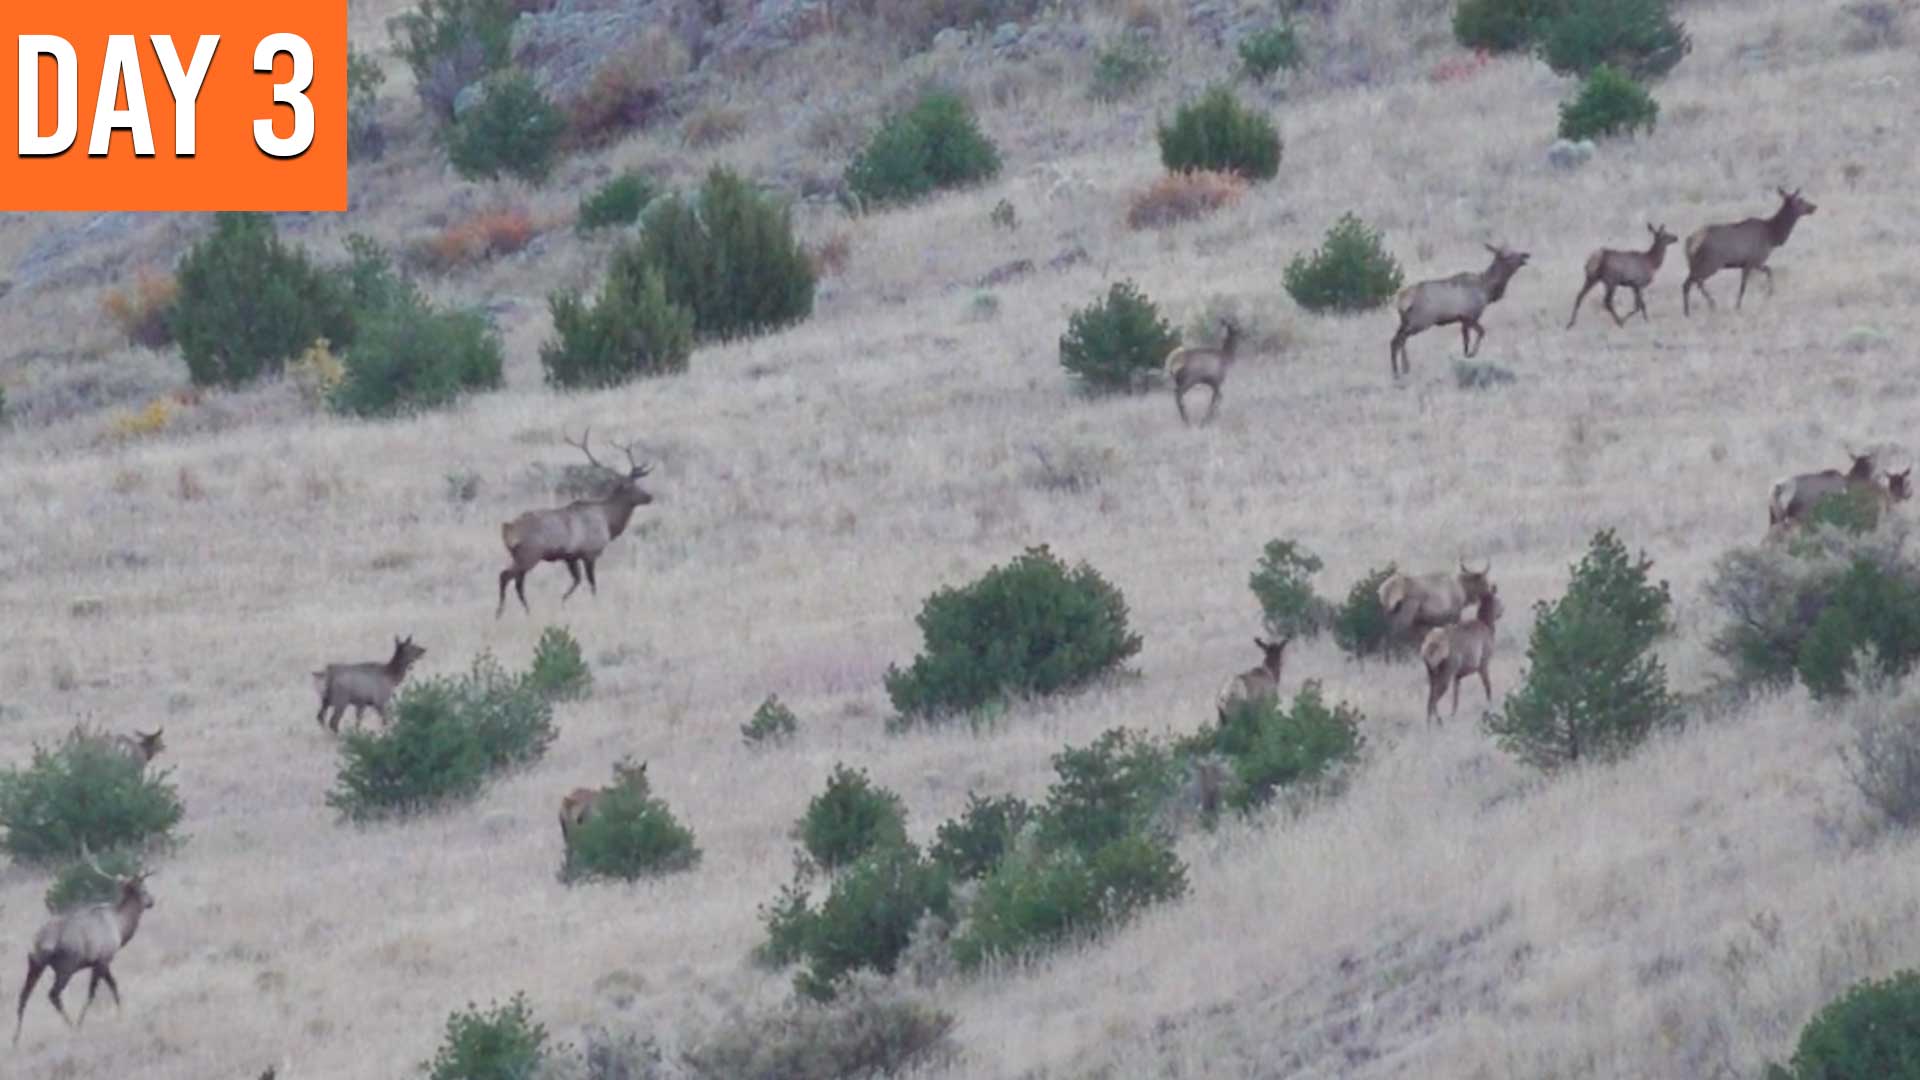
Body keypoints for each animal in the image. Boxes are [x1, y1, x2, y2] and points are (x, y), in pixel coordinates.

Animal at [13, 843, 154, 1046]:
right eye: (144, 888)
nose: (152, 901)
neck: (120, 927)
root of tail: (40, 943)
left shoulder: (101, 962)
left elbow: (112, 986)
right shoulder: (102, 959)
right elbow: (94, 992)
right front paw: (82, 1023)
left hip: (35, 964)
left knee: (23, 996)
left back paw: (15, 1039)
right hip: (66, 966)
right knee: (53, 994)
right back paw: (72, 1026)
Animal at [498, 428, 656, 619]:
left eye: (637, 483)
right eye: (630, 486)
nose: (649, 496)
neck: (609, 522)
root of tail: (508, 528)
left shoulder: (570, 557)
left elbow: (577, 580)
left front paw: (562, 601)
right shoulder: (590, 552)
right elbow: (592, 583)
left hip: (518, 555)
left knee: (516, 581)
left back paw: (522, 610)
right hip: (530, 553)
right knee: (507, 577)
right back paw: (504, 612)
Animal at [1389, 244, 1531, 378]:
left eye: (1514, 250)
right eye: (1508, 255)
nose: (1525, 256)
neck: (1487, 290)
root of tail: (1401, 301)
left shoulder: (1463, 319)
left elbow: (1466, 339)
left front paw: (1466, 355)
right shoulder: (1471, 315)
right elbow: (1481, 332)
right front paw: (1472, 354)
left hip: (1406, 321)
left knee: (1395, 340)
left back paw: (1399, 370)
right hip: (1421, 321)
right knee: (1399, 340)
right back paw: (1402, 369)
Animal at [1420, 587, 1504, 725]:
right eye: (1499, 599)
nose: (1502, 610)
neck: (1487, 626)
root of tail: (1430, 649)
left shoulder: (1457, 675)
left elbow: (1456, 699)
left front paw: (1453, 715)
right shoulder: (1483, 662)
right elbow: (1487, 686)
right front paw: (1490, 706)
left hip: (1432, 673)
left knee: (1429, 700)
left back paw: (1431, 724)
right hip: (1446, 671)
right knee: (1433, 700)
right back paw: (1439, 722)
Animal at [1681, 187, 1817, 316]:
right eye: (1800, 200)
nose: (1814, 207)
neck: (1773, 236)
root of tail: (1689, 242)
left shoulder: (1747, 264)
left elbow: (1766, 272)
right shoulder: (1753, 261)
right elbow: (1749, 283)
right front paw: (1741, 305)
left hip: (1695, 264)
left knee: (1691, 283)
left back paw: (1692, 310)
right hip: (1710, 263)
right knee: (1692, 283)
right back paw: (1706, 306)